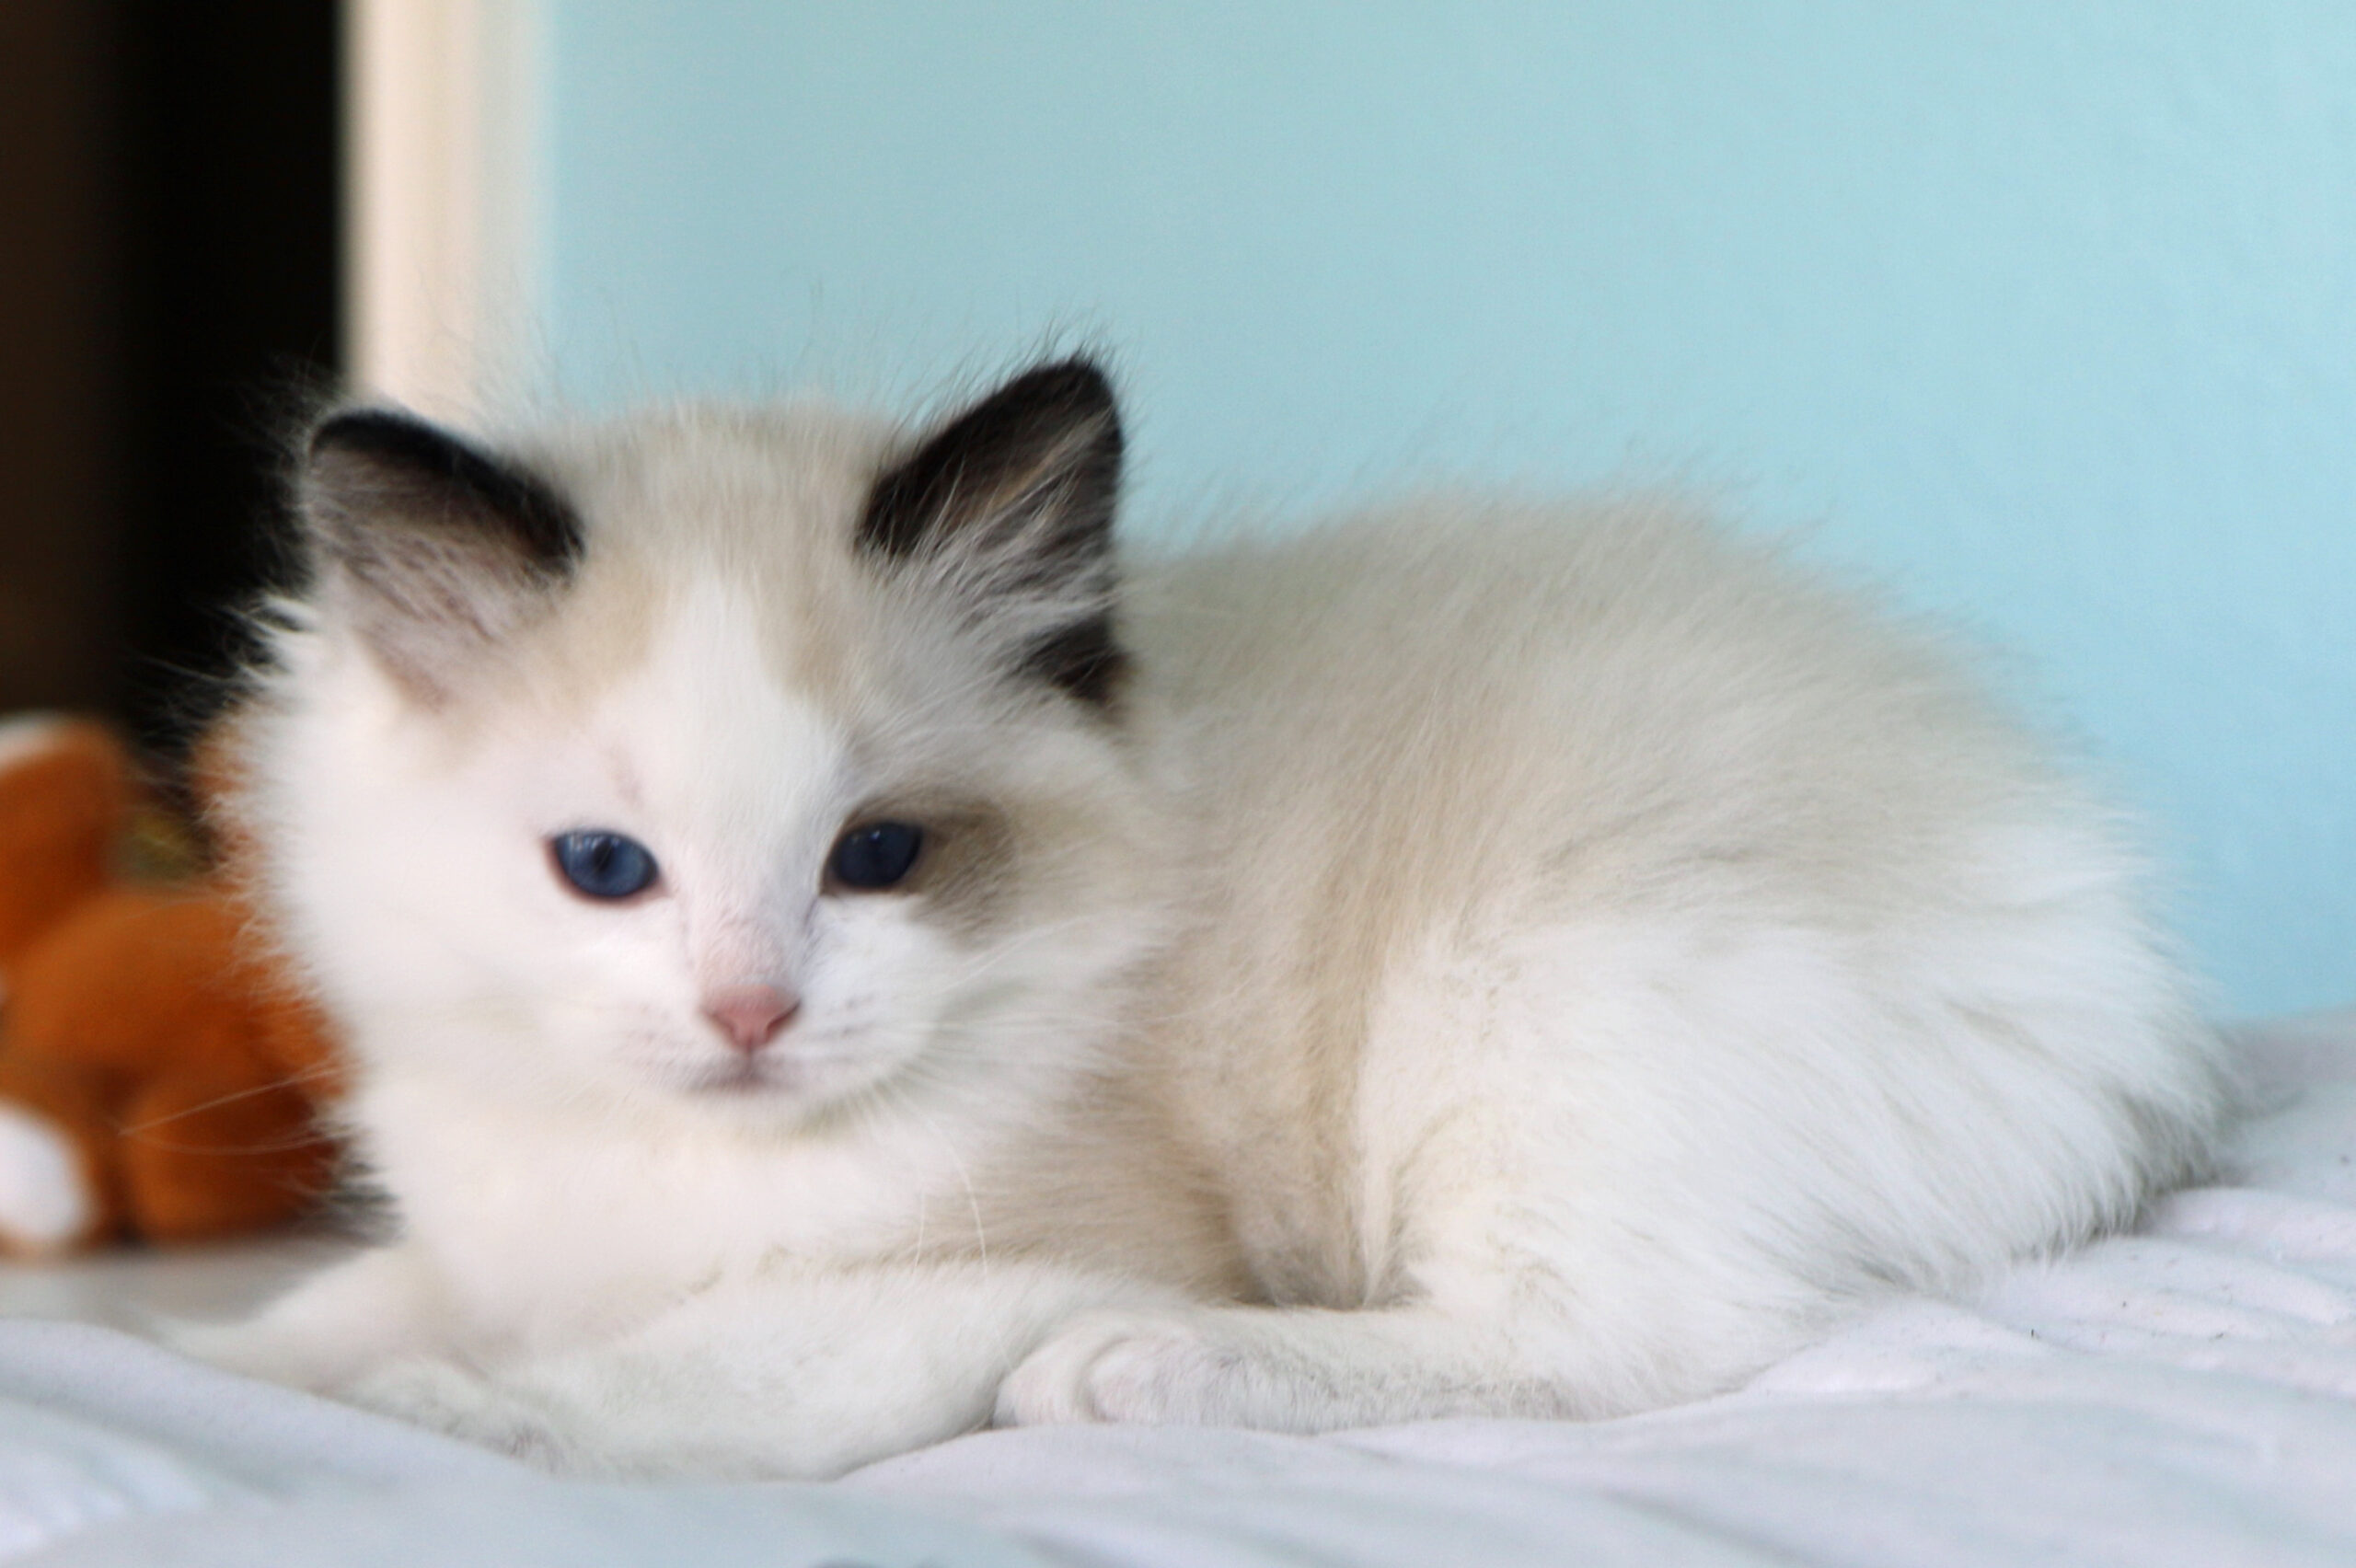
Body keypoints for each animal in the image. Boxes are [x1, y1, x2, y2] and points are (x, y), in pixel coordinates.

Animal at [183, 357, 2223, 1478]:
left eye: (878, 857)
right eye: (606, 869)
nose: (749, 1016)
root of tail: (2118, 971)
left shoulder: (998, 1263)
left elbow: (605, 1389)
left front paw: (431, 1424)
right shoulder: (493, 1231)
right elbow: (325, 1315)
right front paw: (209, 1366)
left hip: (1537, 1002)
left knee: (1633, 1338)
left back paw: (1134, 1376)